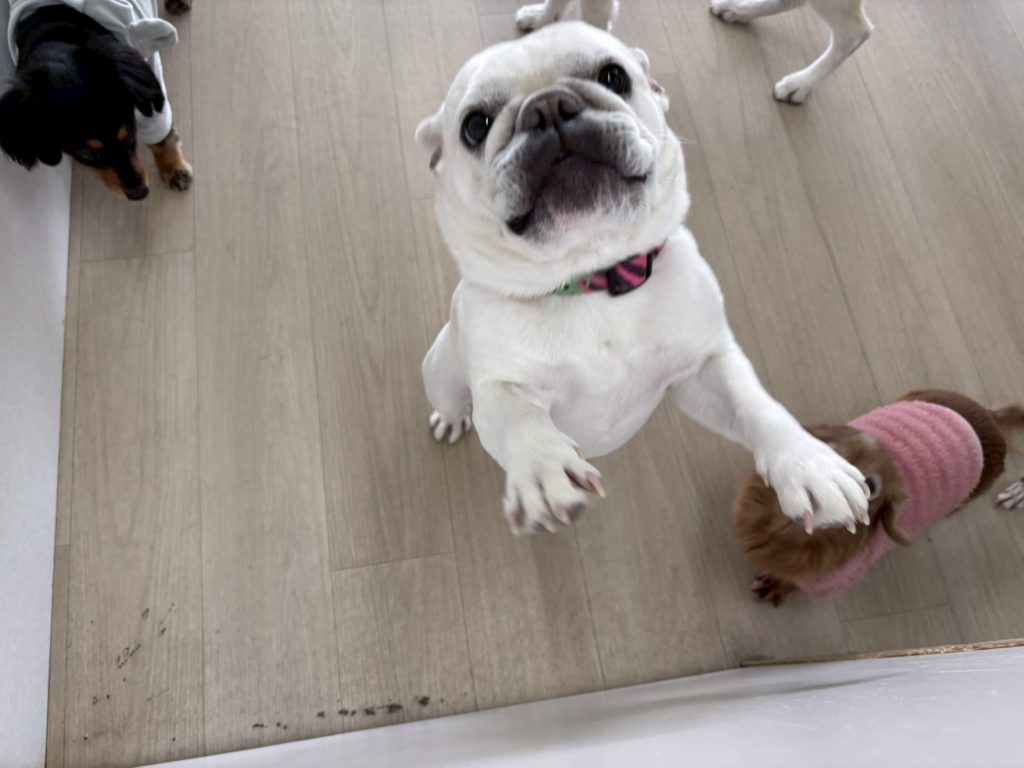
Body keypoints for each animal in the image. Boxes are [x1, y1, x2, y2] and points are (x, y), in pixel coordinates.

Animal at [416, 22, 869, 536]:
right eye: (475, 126)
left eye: (614, 77)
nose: (547, 106)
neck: (595, 279)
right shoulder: (500, 386)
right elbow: (517, 420)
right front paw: (544, 471)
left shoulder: (705, 367)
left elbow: (756, 406)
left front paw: (810, 464)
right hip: (440, 368)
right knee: (453, 397)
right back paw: (450, 420)